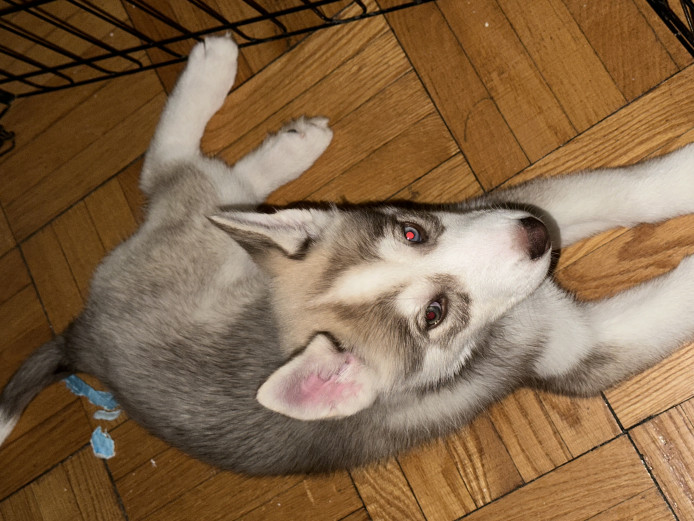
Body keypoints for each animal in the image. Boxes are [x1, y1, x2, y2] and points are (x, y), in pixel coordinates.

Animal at [1, 36, 694, 476]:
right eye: (434, 315)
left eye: (412, 232)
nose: (534, 238)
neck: (503, 325)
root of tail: (84, 340)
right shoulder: (574, 353)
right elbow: (664, 307)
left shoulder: (499, 205)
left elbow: (622, 190)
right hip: (182, 231)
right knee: (166, 170)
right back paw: (214, 69)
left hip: (226, 233)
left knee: (221, 189)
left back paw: (290, 145)